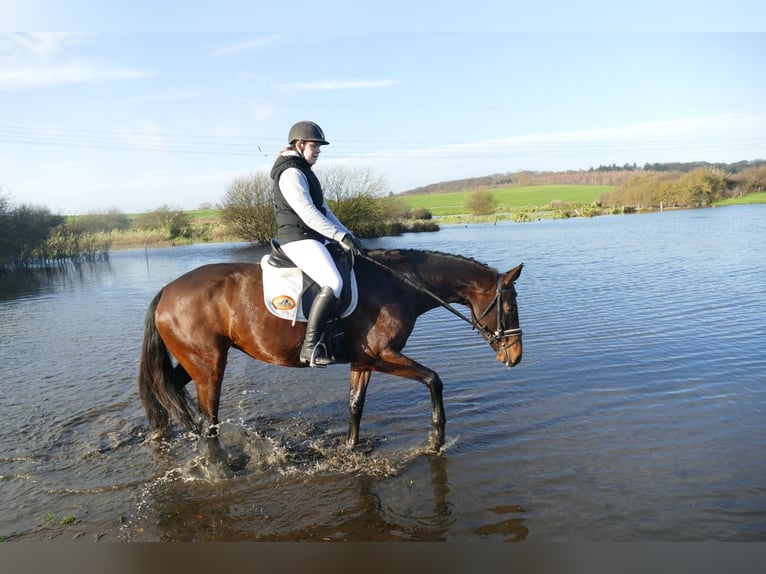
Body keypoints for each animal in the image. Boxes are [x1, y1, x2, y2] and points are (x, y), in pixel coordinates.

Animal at [136, 250, 520, 456]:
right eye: (509, 307)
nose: (515, 357)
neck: (397, 285)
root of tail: (167, 290)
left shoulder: (363, 362)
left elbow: (355, 406)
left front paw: (350, 448)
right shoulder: (382, 355)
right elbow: (433, 380)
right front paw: (436, 438)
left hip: (196, 361)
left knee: (167, 390)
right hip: (209, 366)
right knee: (208, 422)